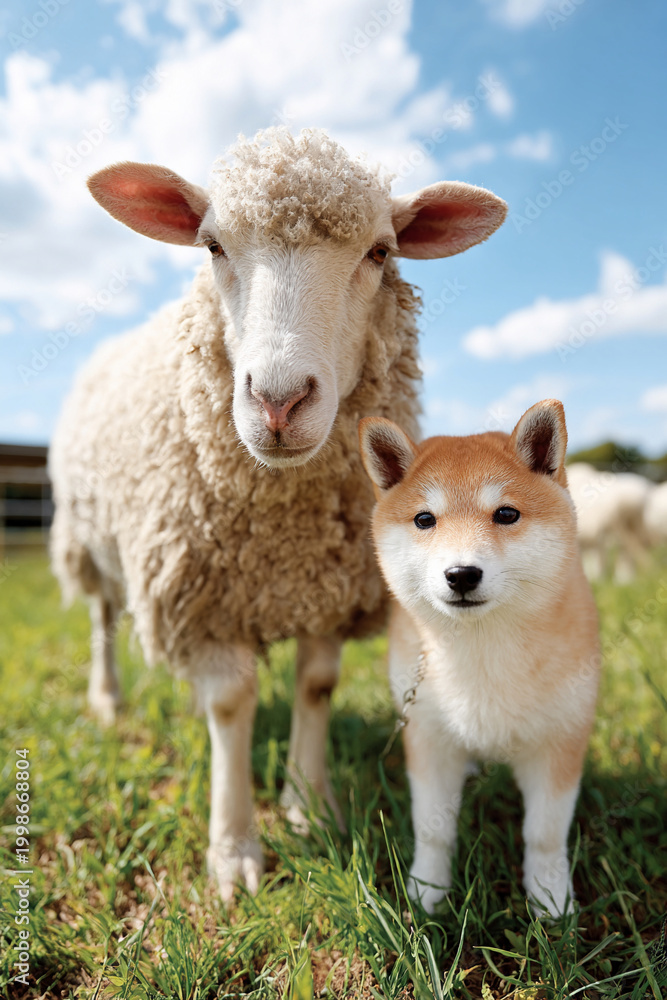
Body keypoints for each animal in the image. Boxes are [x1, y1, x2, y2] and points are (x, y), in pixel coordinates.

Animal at [49, 127, 507, 900]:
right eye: (211, 246)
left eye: (379, 252)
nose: (279, 401)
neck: (284, 534)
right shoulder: (204, 598)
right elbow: (231, 703)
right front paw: (234, 850)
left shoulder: (331, 587)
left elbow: (315, 686)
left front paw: (308, 806)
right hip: (91, 540)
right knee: (104, 616)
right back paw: (108, 699)